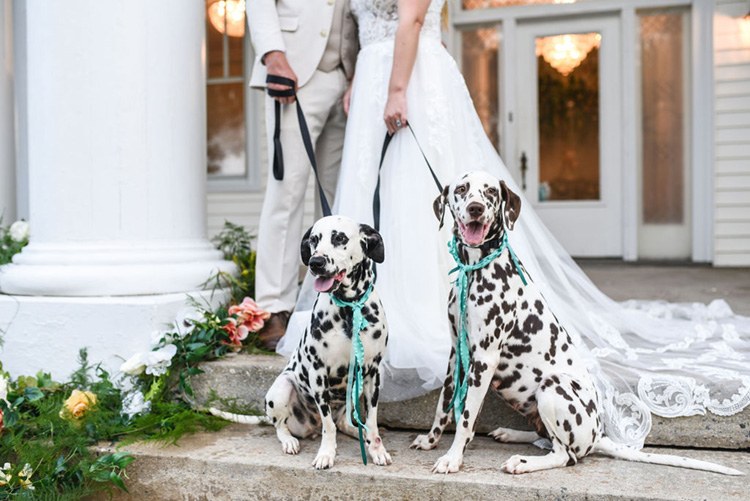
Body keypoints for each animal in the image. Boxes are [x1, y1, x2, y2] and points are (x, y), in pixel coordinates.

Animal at [264, 215, 394, 468]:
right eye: (314, 239)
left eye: (340, 238)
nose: (316, 262)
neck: (349, 308)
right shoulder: (318, 374)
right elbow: (328, 425)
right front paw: (326, 453)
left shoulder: (373, 374)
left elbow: (371, 420)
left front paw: (376, 449)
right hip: (281, 388)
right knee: (281, 426)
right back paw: (289, 441)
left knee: (345, 421)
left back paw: (360, 433)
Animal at [414, 170, 744, 474]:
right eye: (462, 189)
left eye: (491, 191)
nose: (475, 208)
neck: (475, 269)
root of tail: (598, 435)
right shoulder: (456, 353)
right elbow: (444, 405)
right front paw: (431, 441)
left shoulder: (484, 358)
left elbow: (466, 418)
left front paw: (452, 458)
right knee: (545, 439)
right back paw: (511, 433)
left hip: (552, 387)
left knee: (564, 455)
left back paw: (523, 462)